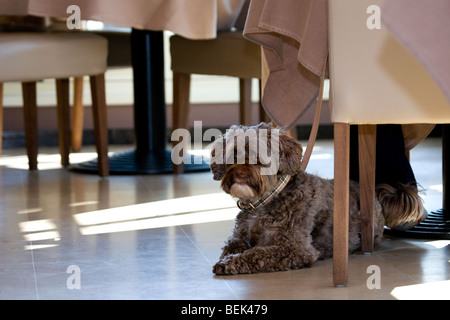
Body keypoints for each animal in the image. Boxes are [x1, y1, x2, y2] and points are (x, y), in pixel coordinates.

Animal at [210, 123, 422, 276]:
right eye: (233, 153)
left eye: (257, 153)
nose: (239, 172)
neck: (266, 200)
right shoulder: (239, 235)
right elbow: (232, 244)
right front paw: (230, 255)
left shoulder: (295, 248)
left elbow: (257, 253)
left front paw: (230, 262)